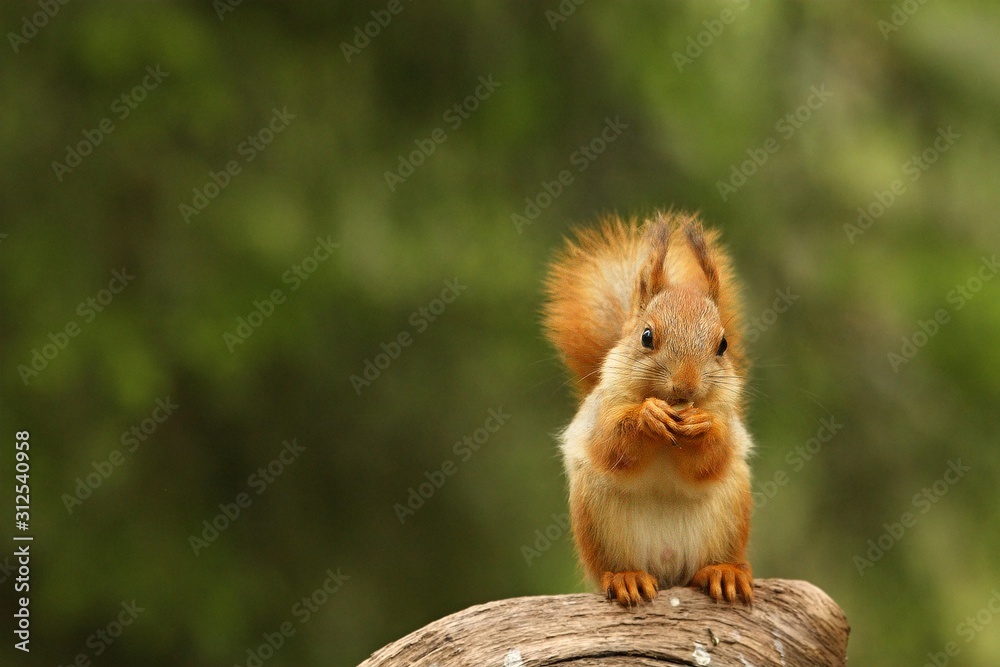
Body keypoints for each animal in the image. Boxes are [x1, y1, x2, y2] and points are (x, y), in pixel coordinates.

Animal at [542, 211, 754, 607]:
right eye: (646, 336)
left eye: (723, 345)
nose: (685, 386)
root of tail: (667, 567)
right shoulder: (603, 409)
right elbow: (611, 443)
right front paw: (647, 416)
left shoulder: (727, 418)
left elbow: (714, 455)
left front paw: (701, 423)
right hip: (598, 519)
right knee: (615, 566)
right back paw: (626, 578)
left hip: (730, 512)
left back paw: (723, 571)